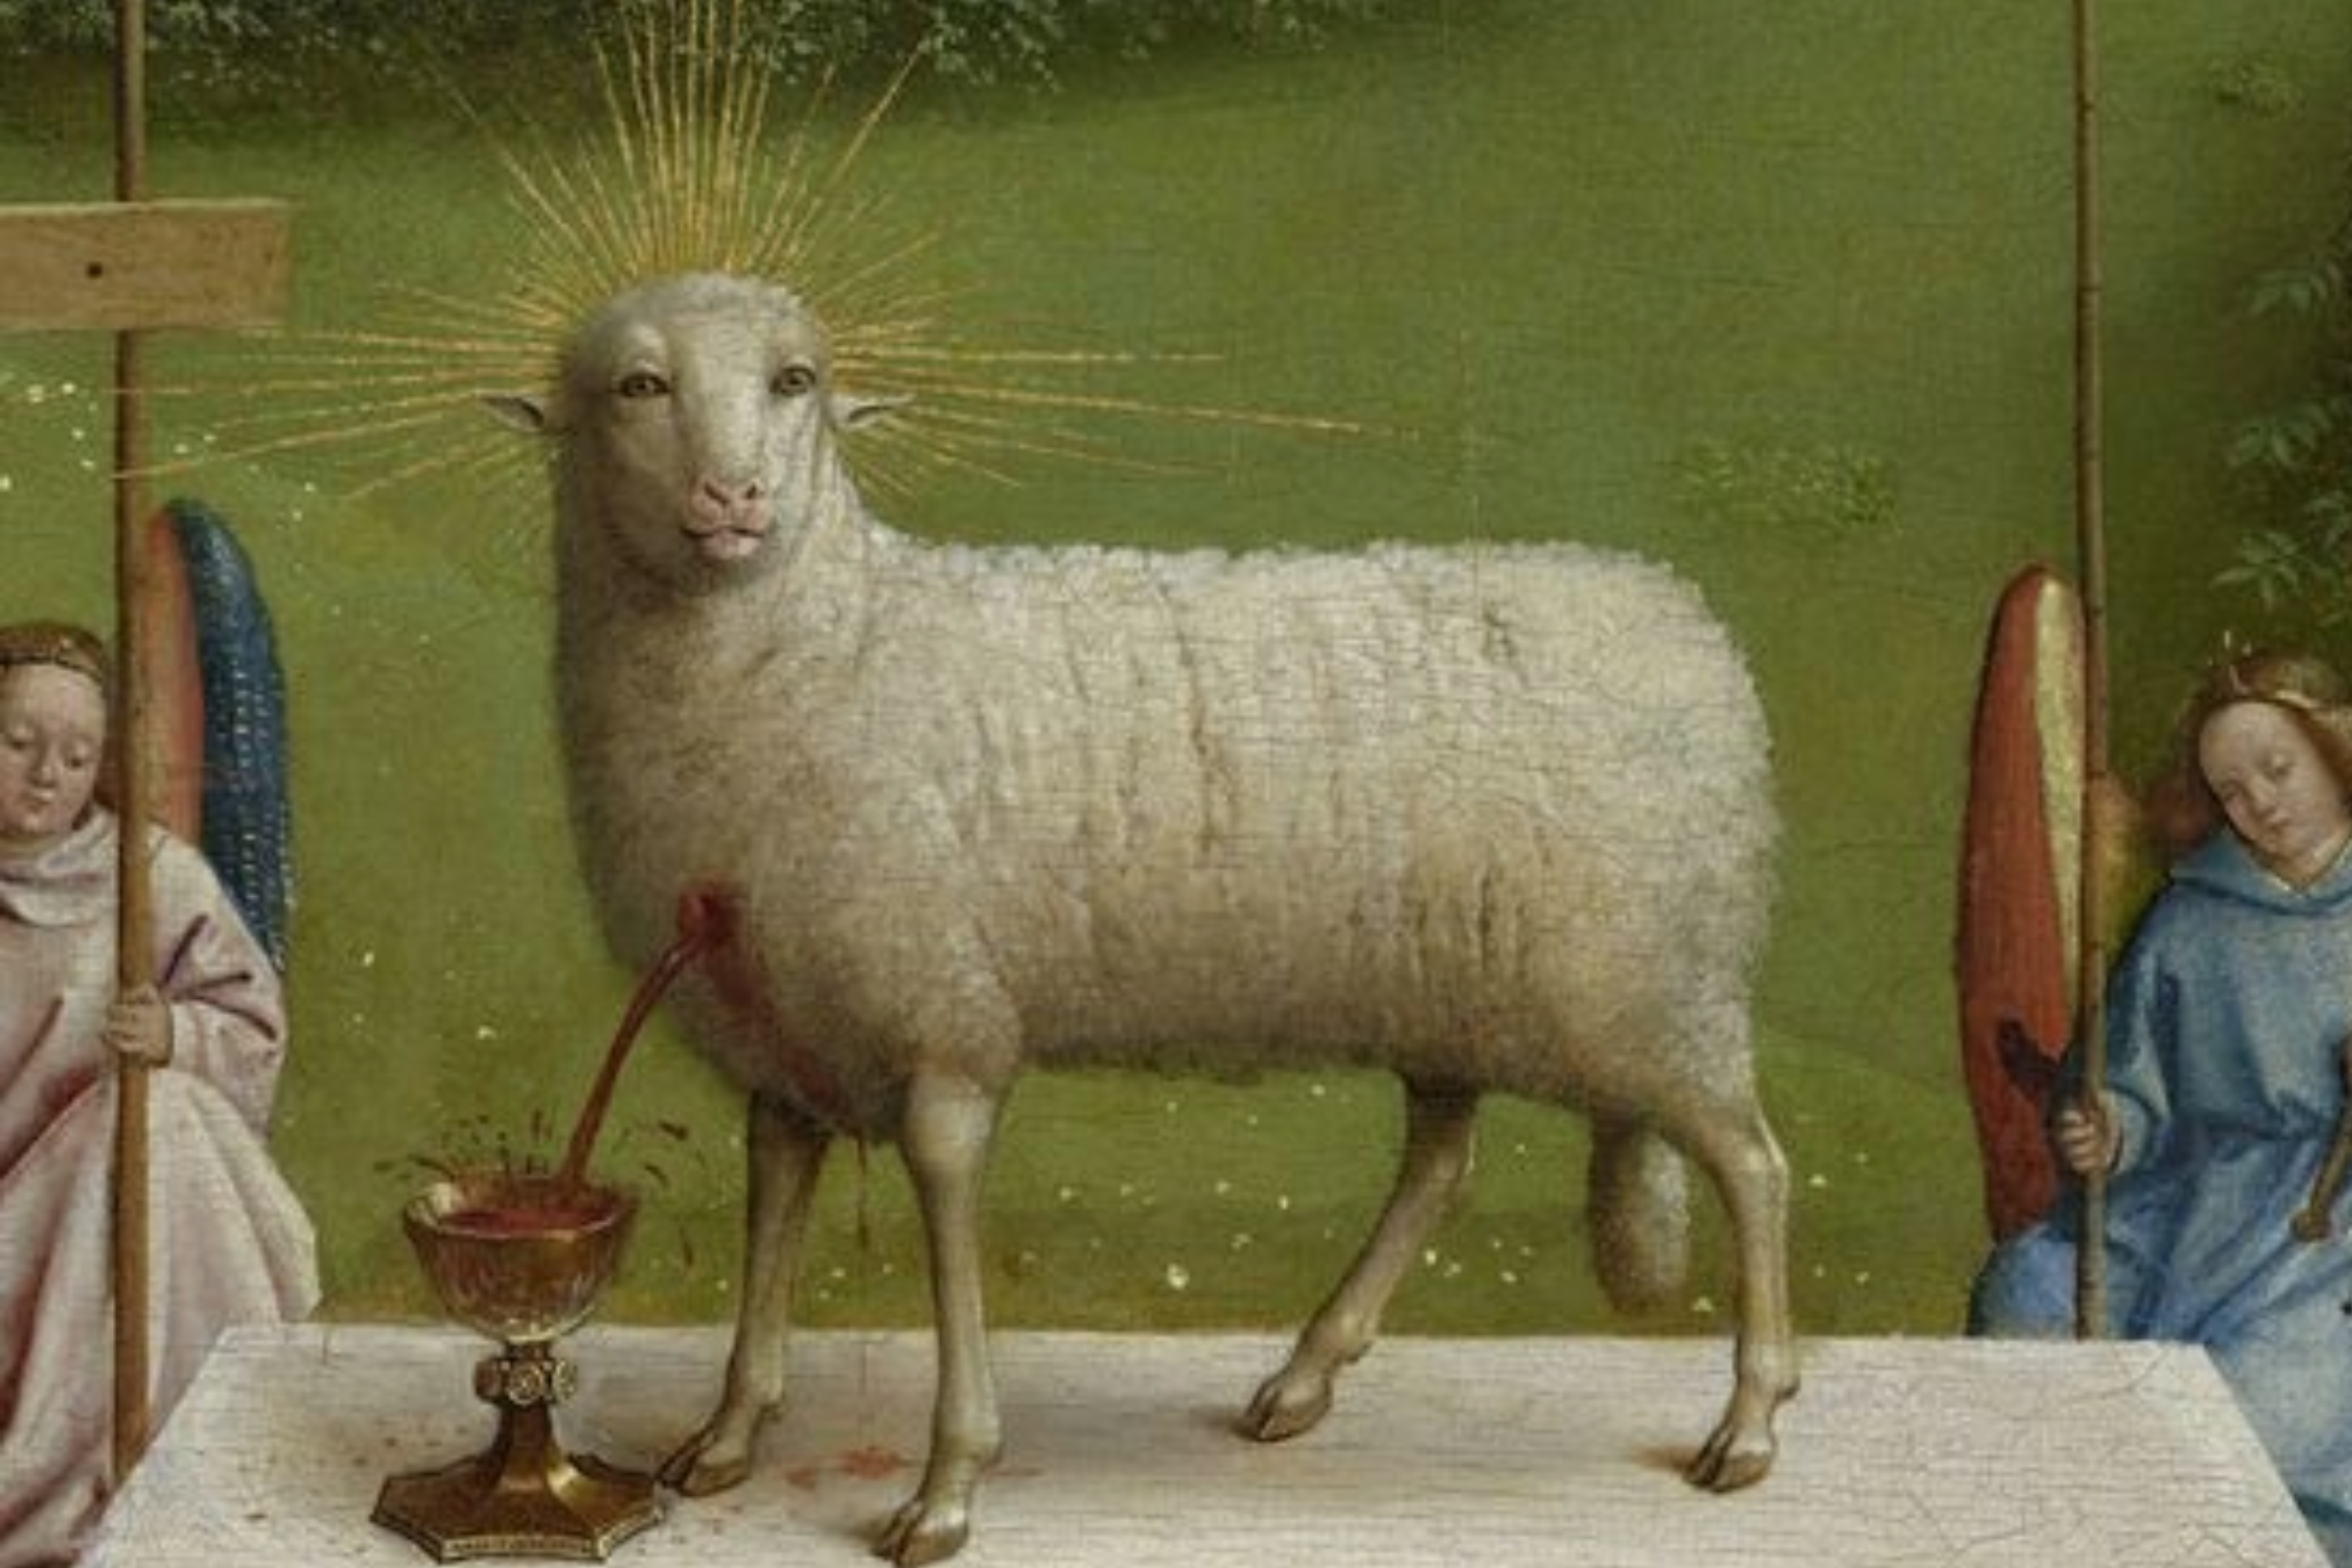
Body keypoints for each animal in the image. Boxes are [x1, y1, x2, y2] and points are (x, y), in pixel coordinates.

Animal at [493, 269, 1797, 1566]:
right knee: (1441, 1164)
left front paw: (947, 1487)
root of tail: (1682, 622)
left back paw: (1750, 1423)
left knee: (1752, 1164)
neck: (830, 639)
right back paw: (1305, 1376)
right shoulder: (786, 1046)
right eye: (638, 386)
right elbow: (770, 1227)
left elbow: (944, 1217)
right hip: (1461, 994)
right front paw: (726, 1437)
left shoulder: (944, 1031)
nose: (735, 497)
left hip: (1646, 991)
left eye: (794, 382)